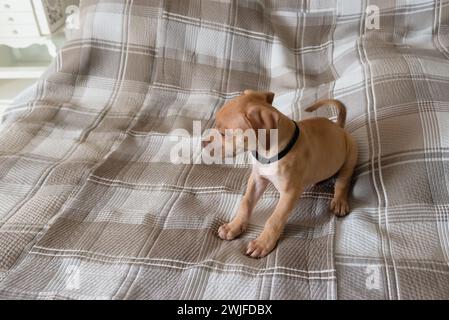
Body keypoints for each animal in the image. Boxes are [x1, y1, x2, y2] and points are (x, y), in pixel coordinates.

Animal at [211, 89, 356, 258]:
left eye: (223, 133)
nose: (204, 144)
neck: (267, 153)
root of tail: (339, 127)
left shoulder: (289, 193)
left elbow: (274, 219)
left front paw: (262, 243)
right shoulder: (257, 179)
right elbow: (245, 203)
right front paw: (233, 227)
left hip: (350, 155)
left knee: (343, 181)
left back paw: (339, 201)